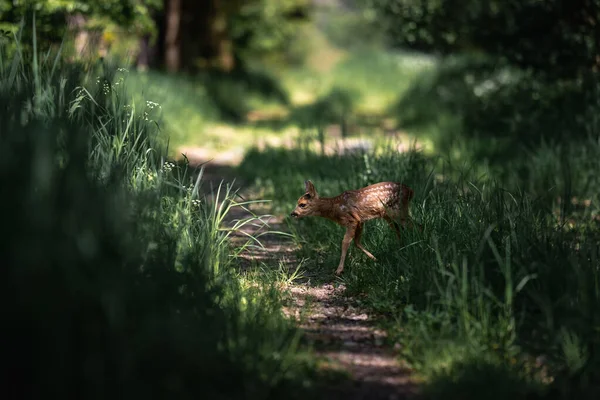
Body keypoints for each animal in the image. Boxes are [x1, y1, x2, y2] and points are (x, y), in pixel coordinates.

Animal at [290, 180, 418, 276]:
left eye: (302, 204)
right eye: (297, 202)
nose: (293, 213)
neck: (334, 208)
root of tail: (411, 191)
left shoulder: (352, 220)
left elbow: (345, 242)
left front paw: (339, 270)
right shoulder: (360, 221)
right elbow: (356, 242)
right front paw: (375, 259)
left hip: (398, 211)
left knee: (416, 226)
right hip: (388, 215)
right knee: (399, 230)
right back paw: (400, 249)